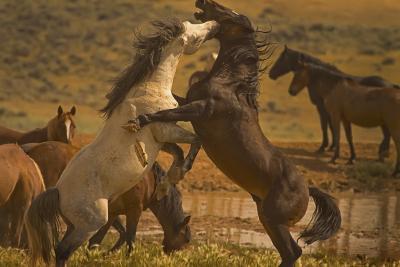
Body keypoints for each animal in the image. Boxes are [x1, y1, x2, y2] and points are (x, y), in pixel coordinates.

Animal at [25, 18, 219, 267]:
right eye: (194, 31)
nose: (214, 24)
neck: (150, 89)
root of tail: (58, 192)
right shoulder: (166, 130)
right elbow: (196, 141)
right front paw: (176, 175)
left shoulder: (160, 140)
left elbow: (177, 151)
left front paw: (166, 184)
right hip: (91, 224)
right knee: (62, 251)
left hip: (74, 226)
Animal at [128, 1, 340, 266]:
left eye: (230, 13)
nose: (203, 3)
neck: (230, 85)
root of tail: (308, 190)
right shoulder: (190, 101)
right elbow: (172, 103)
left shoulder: (200, 109)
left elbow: (167, 113)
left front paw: (139, 120)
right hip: (266, 218)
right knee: (289, 252)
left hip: (274, 221)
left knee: (293, 252)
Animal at [268, 46, 398, 158]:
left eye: (281, 59)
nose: (270, 74)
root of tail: (390, 85)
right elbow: (331, 126)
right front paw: (332, 147)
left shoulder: (321, 106)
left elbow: (324, 125)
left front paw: (323, 147)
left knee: (387, 133)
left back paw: (383, 153)